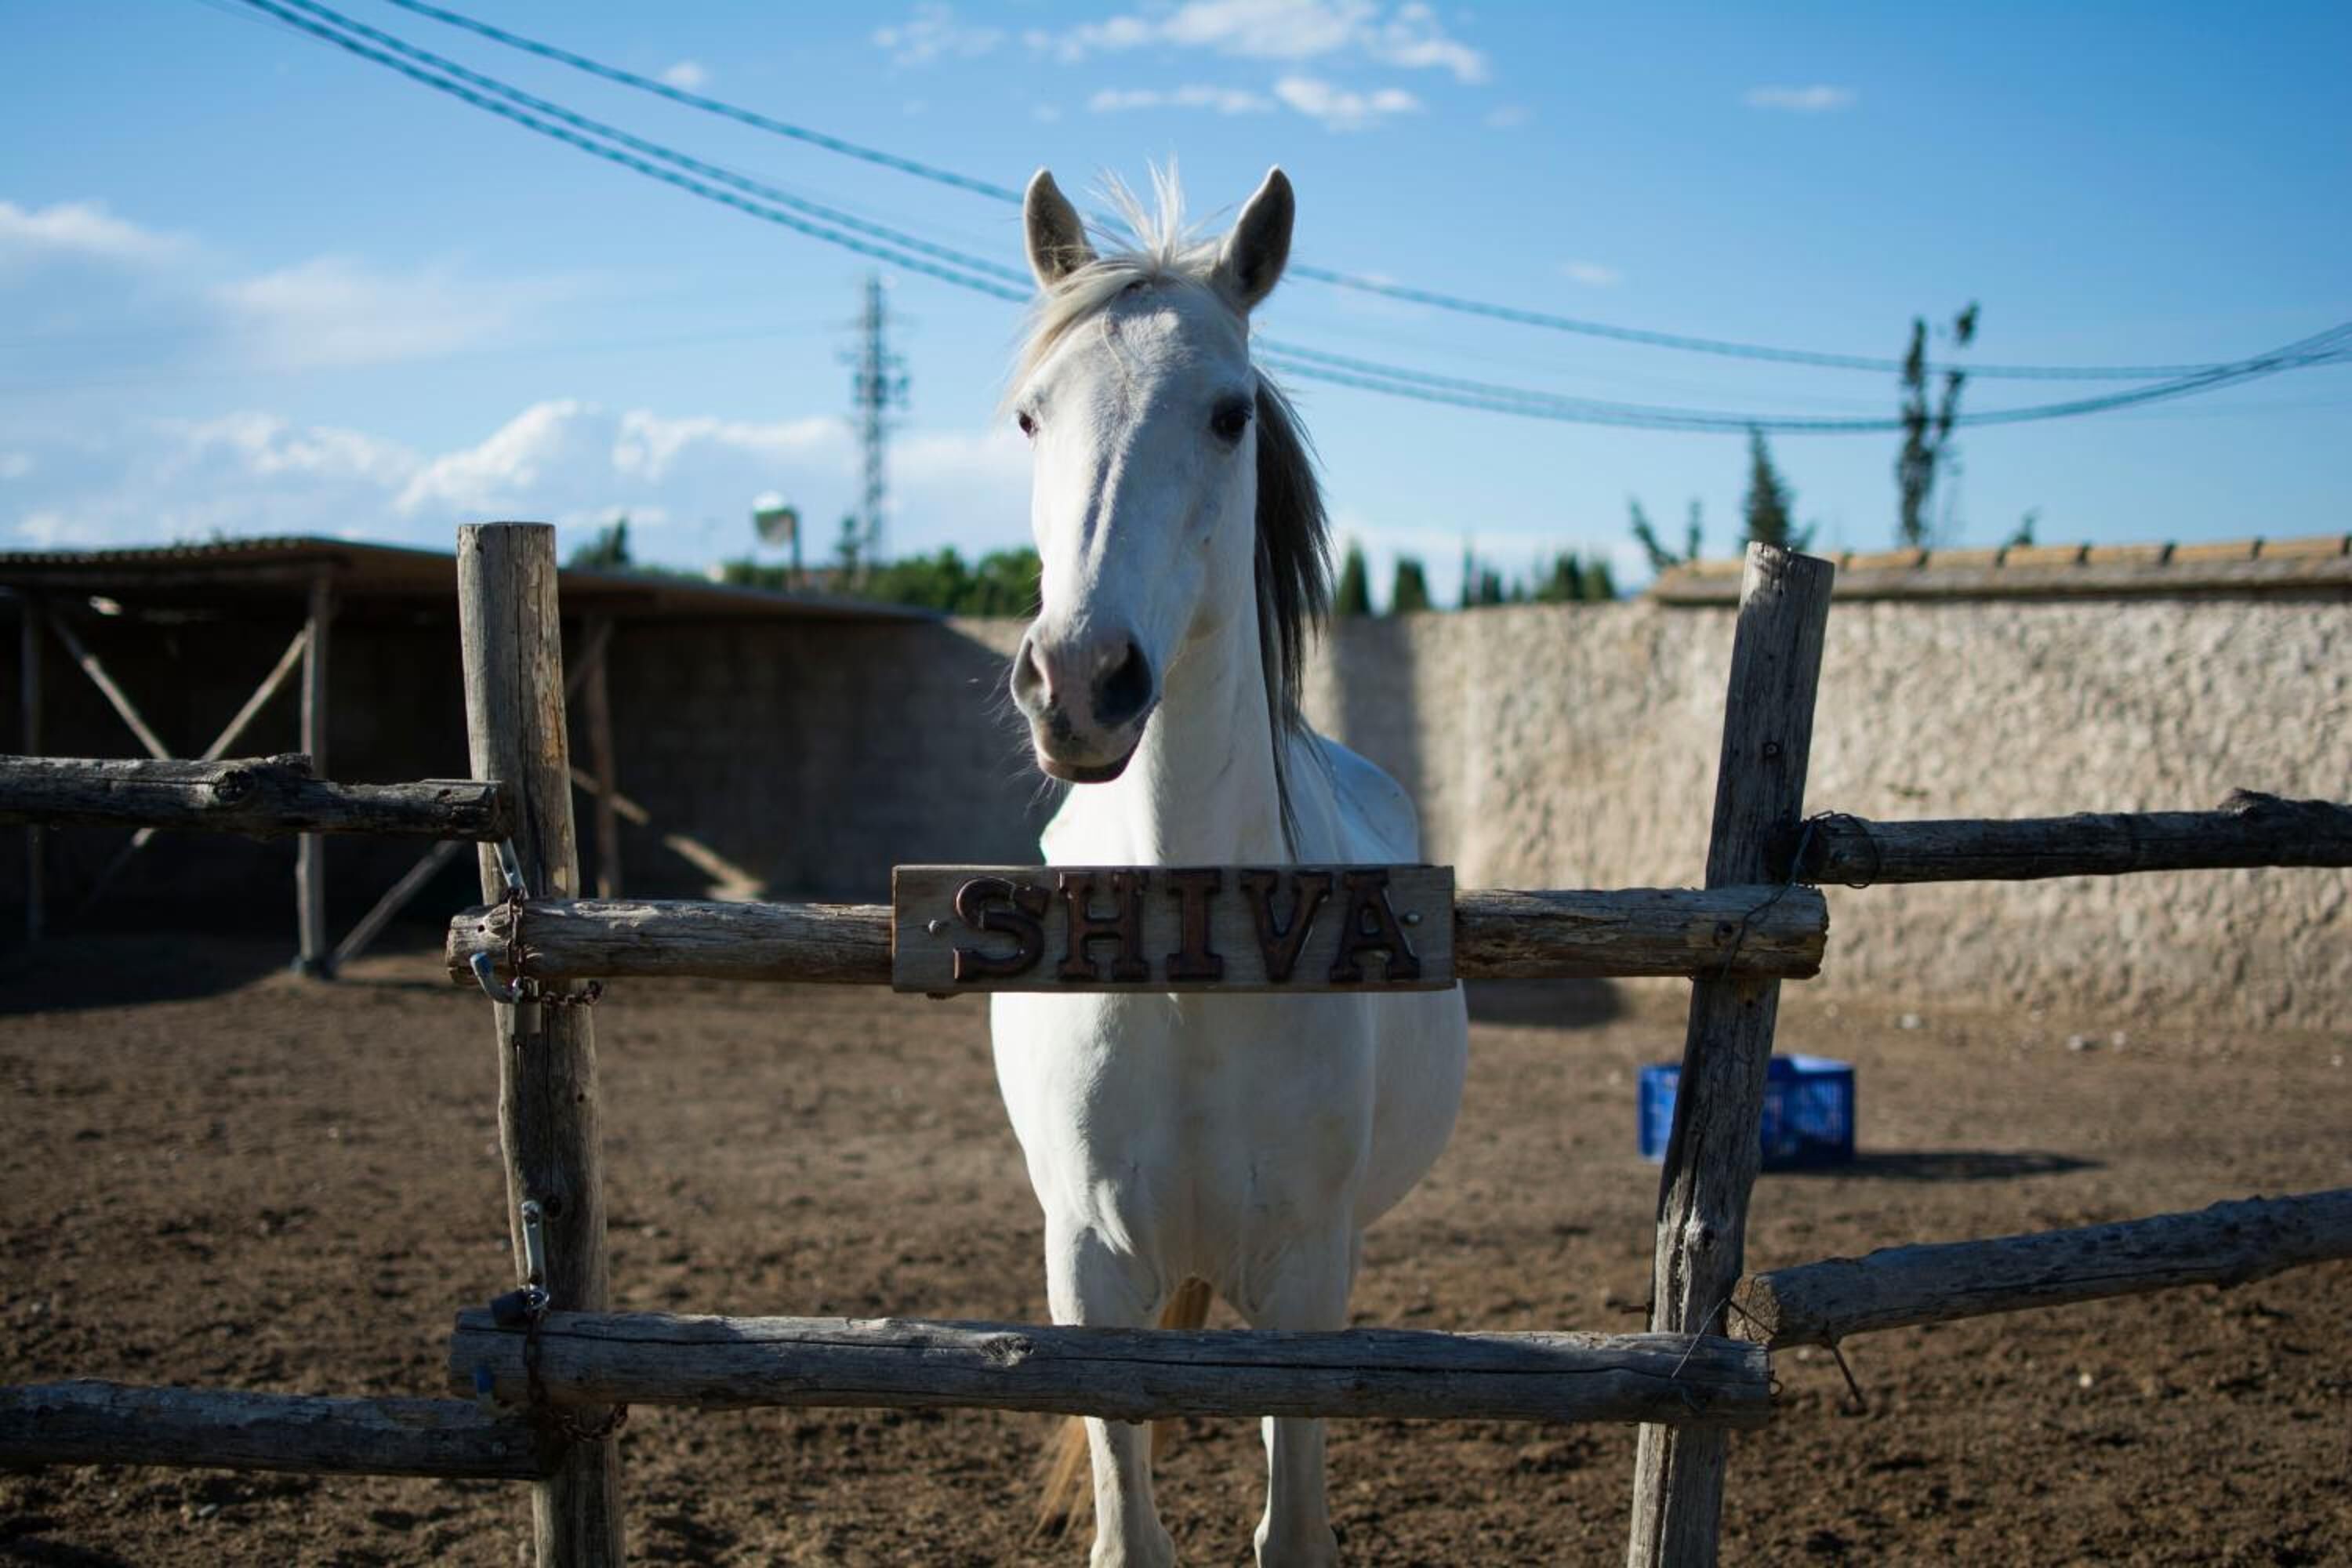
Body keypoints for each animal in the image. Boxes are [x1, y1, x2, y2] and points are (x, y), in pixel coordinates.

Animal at [990, 165, 1471, 1568]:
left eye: (1227, 412)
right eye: (1032, 414)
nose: (1080, 680)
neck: (1190, 964)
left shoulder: (1306, 1283)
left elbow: (1292, 1530)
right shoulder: (1090, 1276)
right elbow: (1127, 1538)